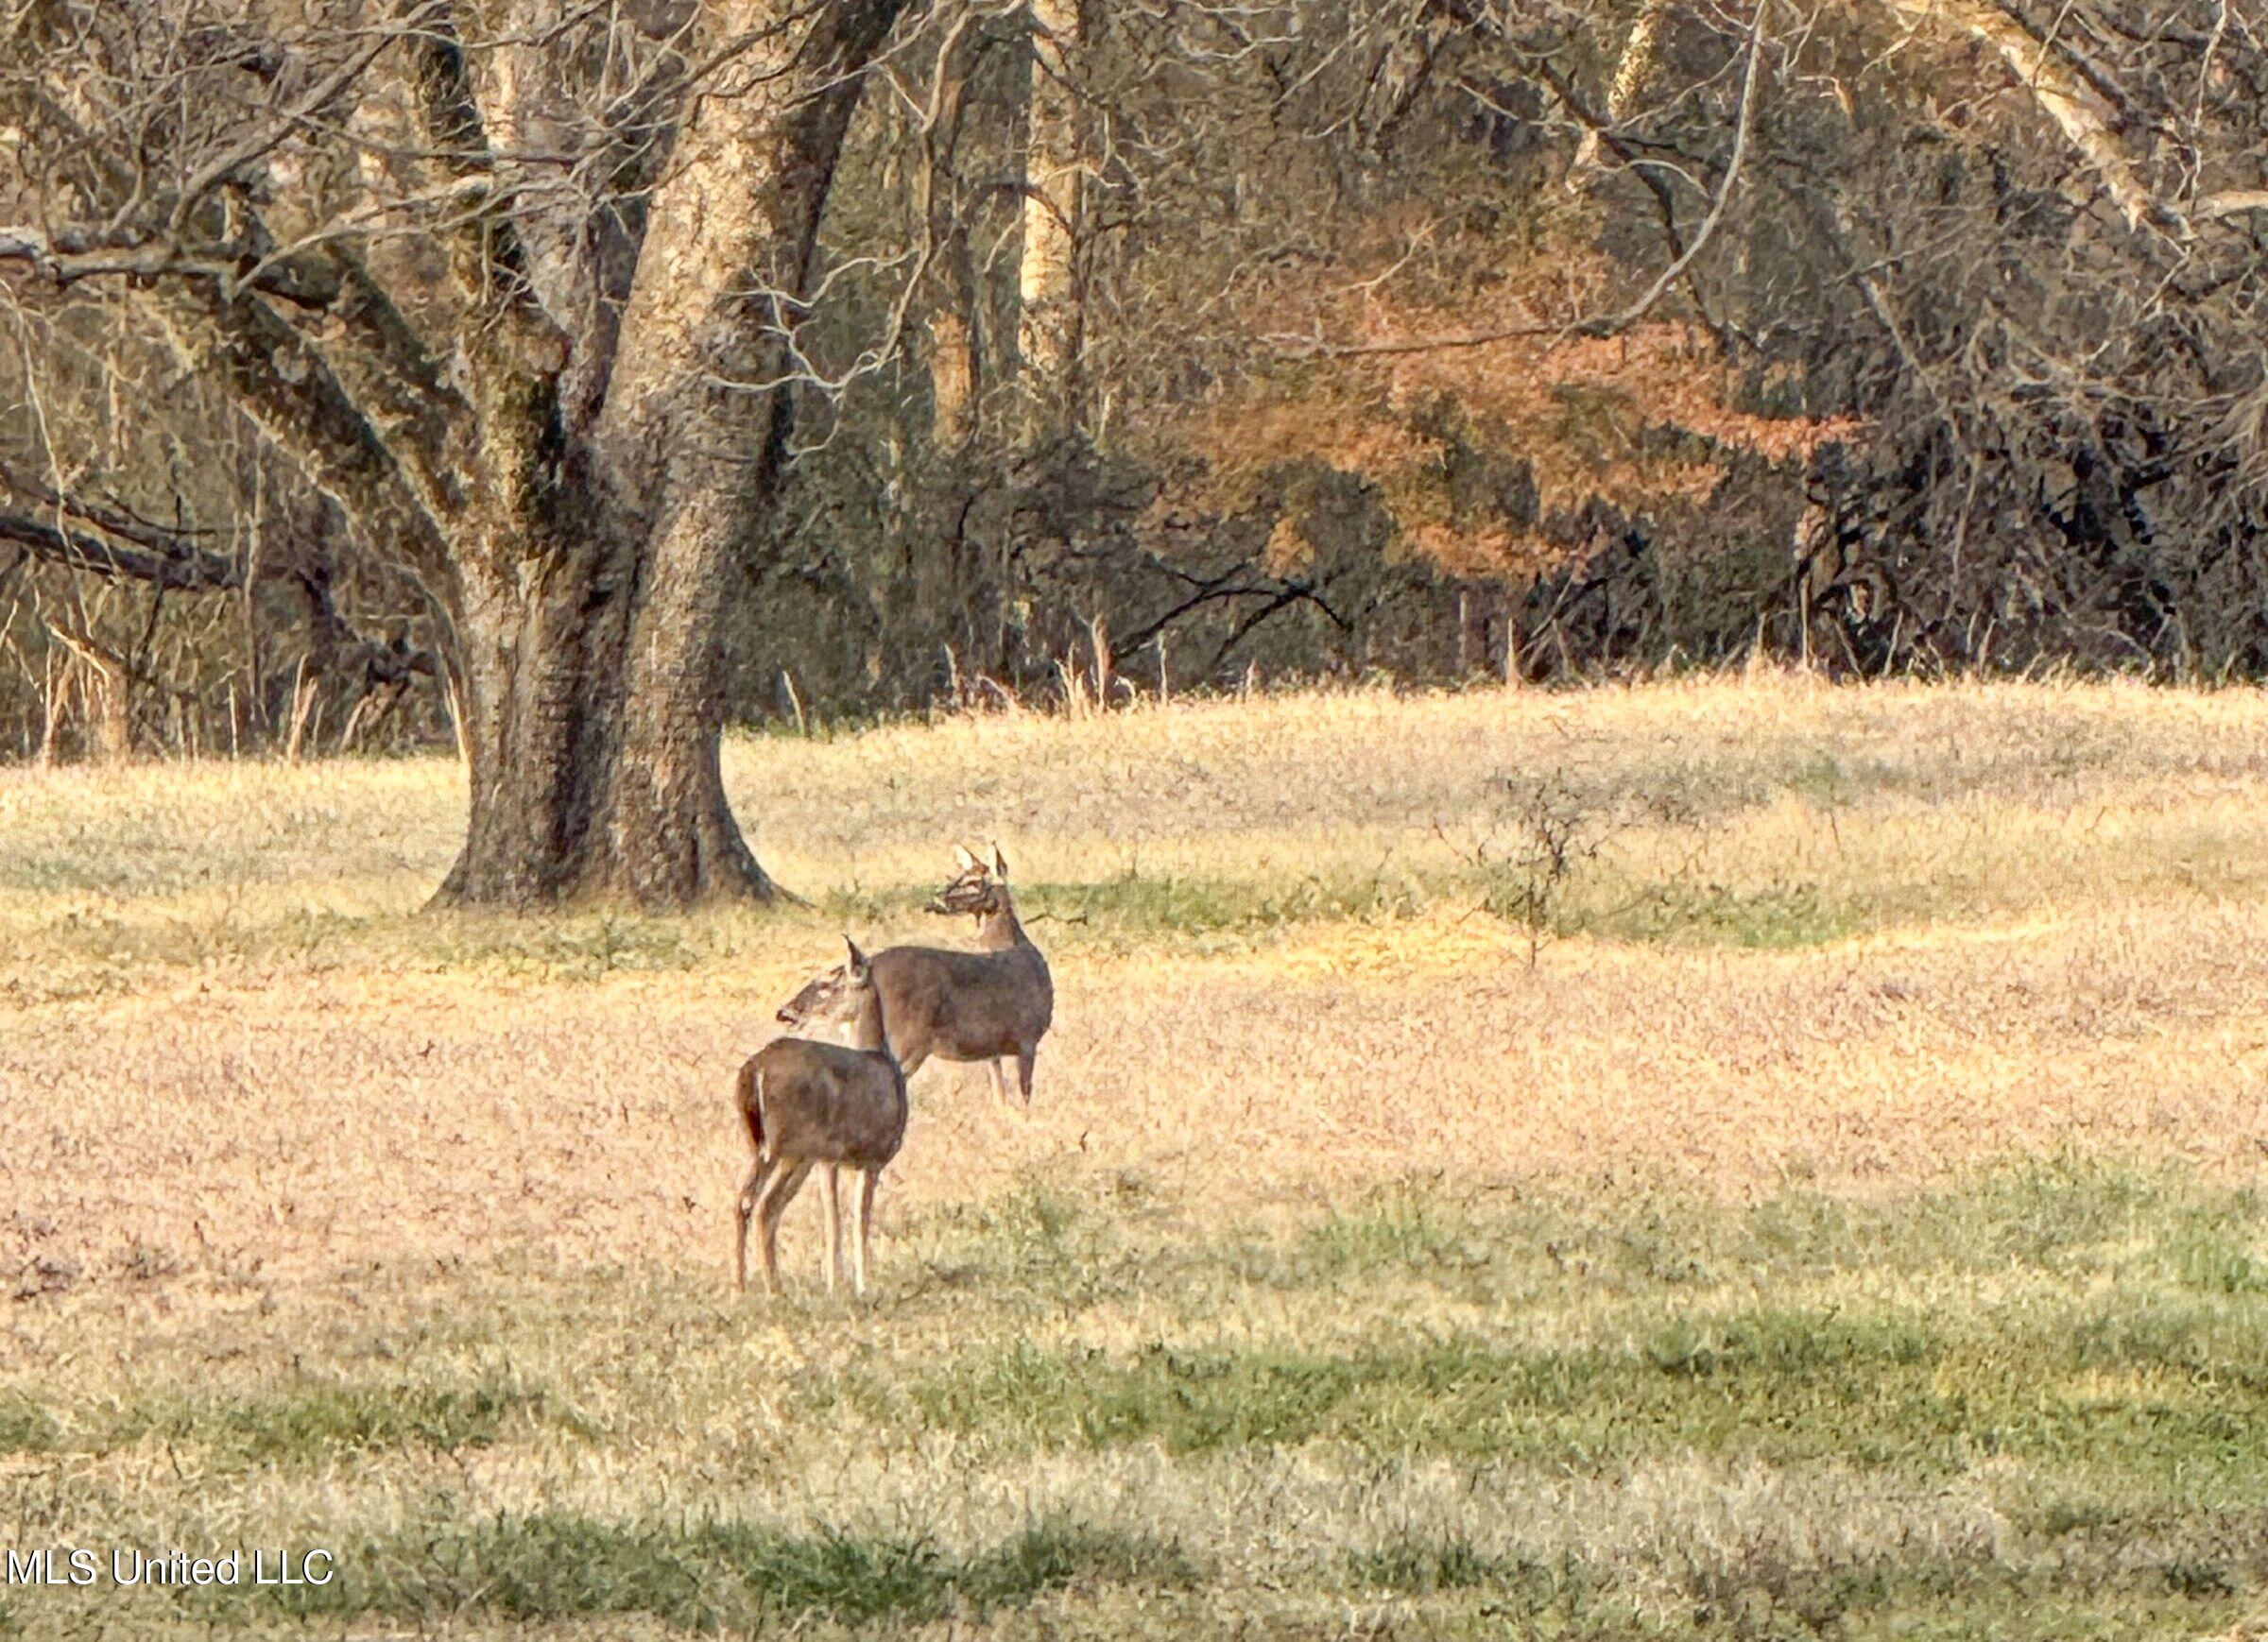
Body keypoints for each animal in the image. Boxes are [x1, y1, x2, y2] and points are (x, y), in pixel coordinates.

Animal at [726, 934, 902, 1297]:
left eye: (825, 984)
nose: (784, 1011)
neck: (882, 1059)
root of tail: (756, 1067)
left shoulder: (828, 1160)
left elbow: (832, 1220)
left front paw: (835, 1284)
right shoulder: (874, 1156)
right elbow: (859, 1219)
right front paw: (863, 1284)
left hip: (762, 1146)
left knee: (745, 1200)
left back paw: (740, 1287)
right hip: (791, 1146)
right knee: (766, 1207)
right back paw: (773, 1287)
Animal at [771, 847, 1052, 1102]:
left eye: (973, 881)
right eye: (959, 876)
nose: (937, 899)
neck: (1012, 944)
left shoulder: (996, 1051)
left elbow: (1001, 1099)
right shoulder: (1027, 1039)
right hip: (907, 1040)